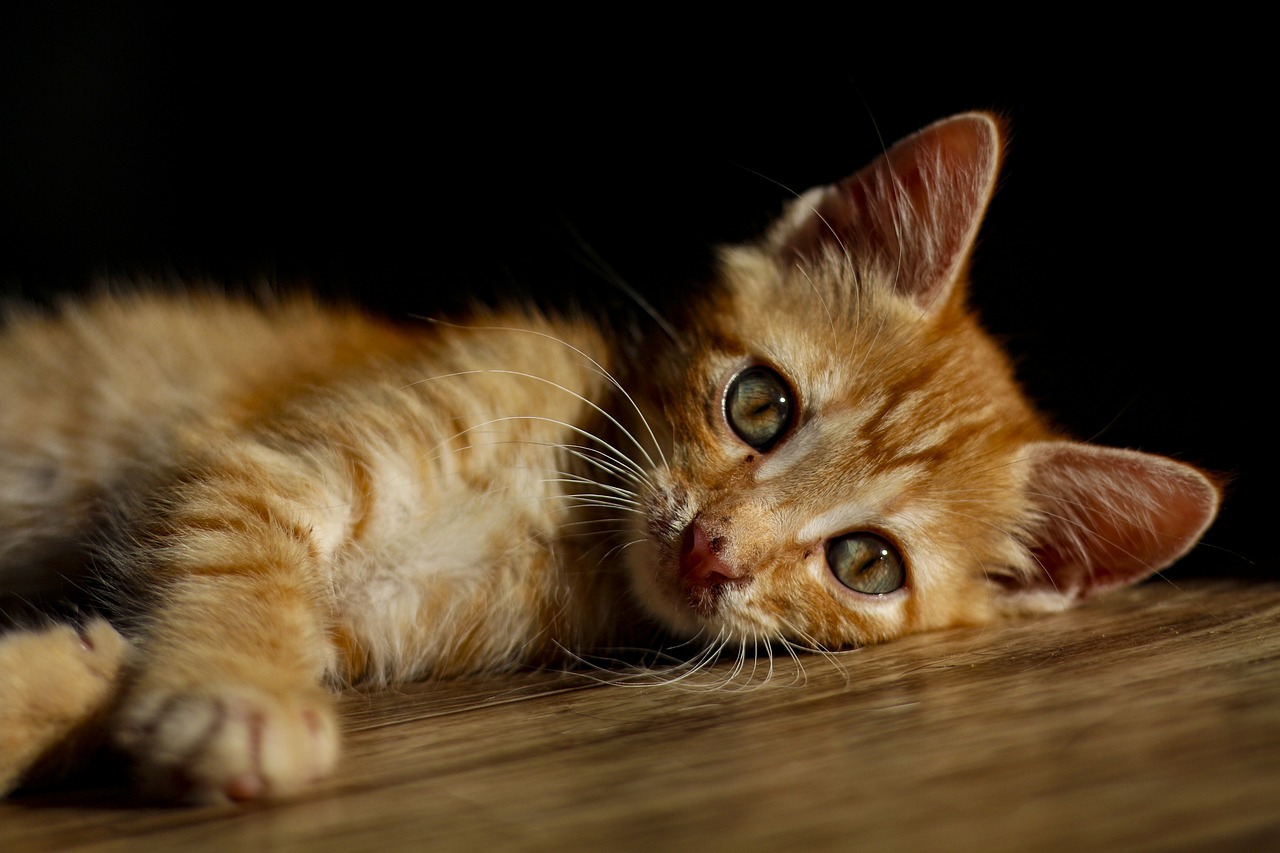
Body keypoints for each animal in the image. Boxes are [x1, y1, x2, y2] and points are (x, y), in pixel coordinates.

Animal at [0, 112, 1218, 799]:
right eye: (760, 405)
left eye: (866, 563)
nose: (714, 549)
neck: (563, 517)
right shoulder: (251, 462)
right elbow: (240, 579)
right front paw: (240, 695)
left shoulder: (358, 615)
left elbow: (113, 653)